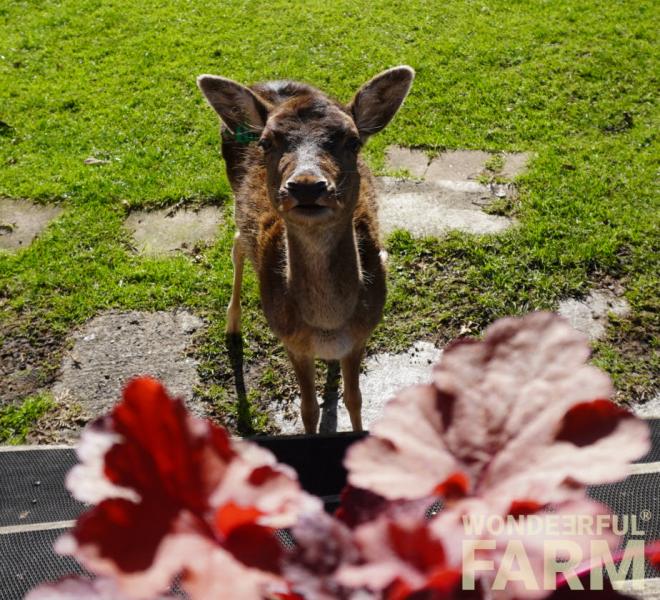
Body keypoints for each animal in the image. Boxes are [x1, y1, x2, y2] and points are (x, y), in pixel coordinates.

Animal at [197, 66, 414, 434]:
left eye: (353, 141)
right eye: (266, 142)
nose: (307, 186)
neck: (328, 324)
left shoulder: (361, 336)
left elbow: (354, 399)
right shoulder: (291, 341)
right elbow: (308, 409)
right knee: (238, 242)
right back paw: (233, 325)